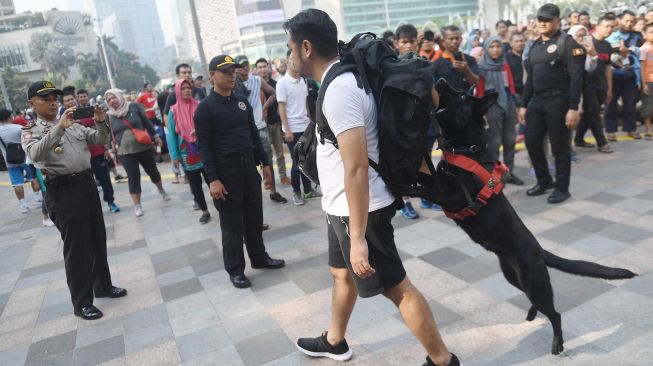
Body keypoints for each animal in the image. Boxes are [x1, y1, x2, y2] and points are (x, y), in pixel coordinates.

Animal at [418, 79, 636, 354]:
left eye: (461, 97)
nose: (440, 80)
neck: (466, 150)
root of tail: (540, 251)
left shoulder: (458, 197)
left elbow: (424, 189)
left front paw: (402, 187)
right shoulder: (441, 183)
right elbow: (423, 179)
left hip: (534, 282)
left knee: (555, 314)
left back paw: (557, 343)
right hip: (514, 277)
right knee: (534, 301)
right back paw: (532, 314)